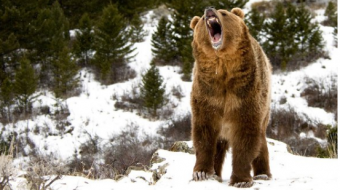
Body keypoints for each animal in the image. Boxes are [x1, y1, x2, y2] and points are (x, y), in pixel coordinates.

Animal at [190, 6, 272, 188]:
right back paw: (216, 172)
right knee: (219, 145)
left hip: (265, 105)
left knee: (261, 141)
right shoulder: (208, 94)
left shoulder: (245, 94)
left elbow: (246, 136)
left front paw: (241, 180)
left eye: (224, 13)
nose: (209, 10)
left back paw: (263, 174)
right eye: (201, 20)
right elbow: (204, 133)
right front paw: (201, 172)